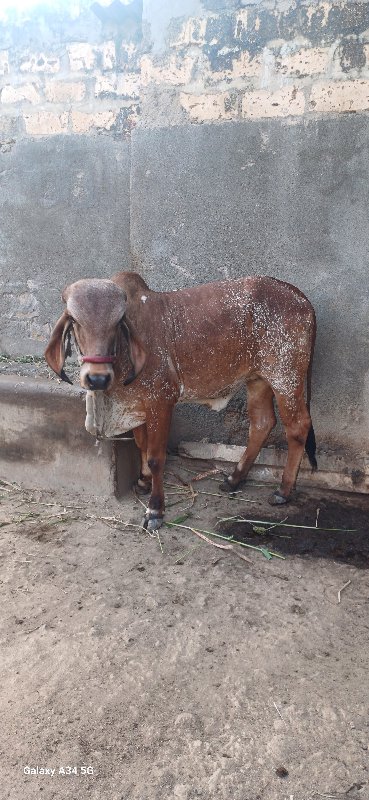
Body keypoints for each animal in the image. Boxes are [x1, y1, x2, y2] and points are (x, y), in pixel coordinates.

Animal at [45, 274, 316, 532]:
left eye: (117, 323)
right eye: (75, 321)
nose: (97, 378)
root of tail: (301, 298)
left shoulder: (161, 401)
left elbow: (156, 457)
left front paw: (155, 510)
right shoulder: (138, 405)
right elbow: (142, 445)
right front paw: (143, 481)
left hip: (285, 377)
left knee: (298, 427)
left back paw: (283, 490)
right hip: (258, 380)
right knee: (262, 423)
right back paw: (234, 478)